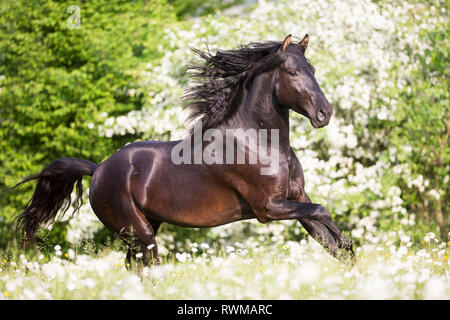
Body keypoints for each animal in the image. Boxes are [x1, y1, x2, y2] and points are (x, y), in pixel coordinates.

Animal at [12, 35, 356, 270]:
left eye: (312, 69)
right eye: (293, 72)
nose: (324, 113)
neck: (262, 144)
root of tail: (97, 169)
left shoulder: (296, 198)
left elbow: (323, 233)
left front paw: (348, 256)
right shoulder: (267, 208)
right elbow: (323, 212)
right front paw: (350, 249)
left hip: (147, 226)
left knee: (133, 265)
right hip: (139, 231)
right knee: (146, 264)